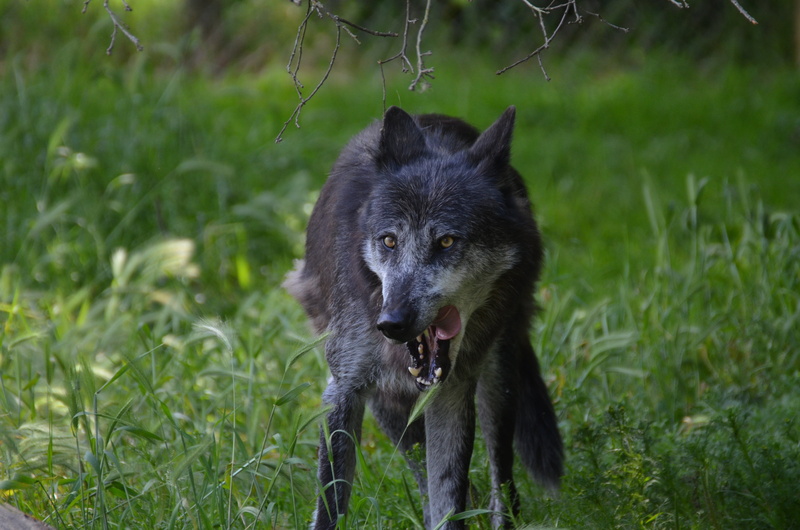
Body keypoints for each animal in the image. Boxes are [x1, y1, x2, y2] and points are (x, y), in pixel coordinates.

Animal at [284, 106, 563, 529]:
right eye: (389, 241)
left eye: (446, 241)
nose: (392, 323)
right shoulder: (343, 391)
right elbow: (331, 504)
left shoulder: (452, 393)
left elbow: (450, 498)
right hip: (388, 408)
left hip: (497, 381)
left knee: (501, 482)